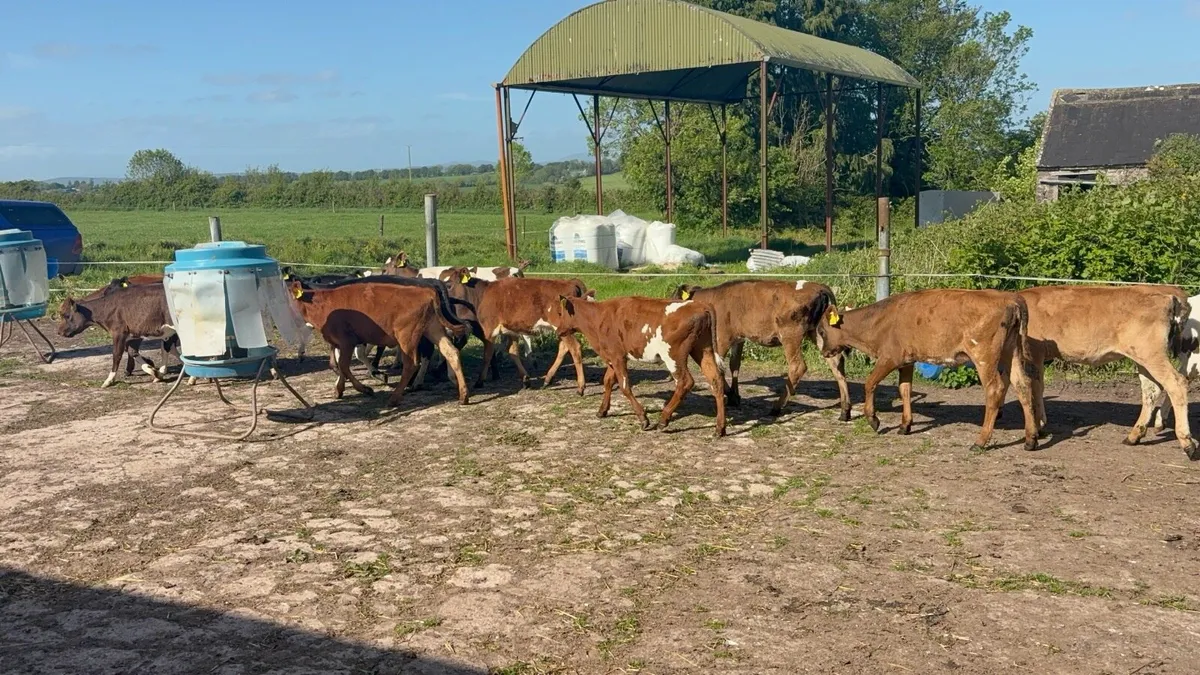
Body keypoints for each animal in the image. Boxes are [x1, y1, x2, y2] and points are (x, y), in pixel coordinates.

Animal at [288, 276, 471, 407]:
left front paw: (364, 388)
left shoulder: (347, 342)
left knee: (411, 364)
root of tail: (428, 290)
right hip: (433, 329)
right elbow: (339, 365)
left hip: (407, 336)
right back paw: (463, 395)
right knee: (451, 352)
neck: (322, 301)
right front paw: (340, 388)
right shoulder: (338, 343)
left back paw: (395, 397)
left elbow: (344, 366)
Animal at [548, 294, 727, 436]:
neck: (598, 317)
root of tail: (700, 305)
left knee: (685, 382)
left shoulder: (617, 357)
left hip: (674, 356)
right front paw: (602, 410)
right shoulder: (613, 357)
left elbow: (624, 386)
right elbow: (607, 381)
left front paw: (643, 418)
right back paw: (720, 428)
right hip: (703, 350)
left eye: (560, 313)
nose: (558, 332)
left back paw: (663, 419)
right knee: (716, 380)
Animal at [671, 279, 849, 418]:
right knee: (836, 363)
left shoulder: (721, 338)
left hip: (790, 335)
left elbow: (719, 368)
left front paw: (729, 395)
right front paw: (734, 396)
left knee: (797, 366)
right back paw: (845, 410)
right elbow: (734, 365)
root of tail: (819, 287)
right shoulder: (738, 338)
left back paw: (776, 407)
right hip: (818, 333)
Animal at [815, 288, 1037, 451]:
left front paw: (873, 419)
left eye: (821, 331)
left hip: (984, 355)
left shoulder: (890, 357)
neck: (878, 320)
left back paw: (980, 441)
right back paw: (1031, 439)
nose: (824, 352)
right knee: (1023, 385)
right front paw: (905, 425)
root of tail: (1011, 298)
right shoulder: (907, 360)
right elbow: (904, 389)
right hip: (1012, 350)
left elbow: (870, 383)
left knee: (994, 389)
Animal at [1010, 284, 1196, 458]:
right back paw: (1134, 436)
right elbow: (1039, 387)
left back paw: (1188, 444)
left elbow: (1035, 388)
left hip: (1151, 353)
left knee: (1176, 383)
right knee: (1151, 390)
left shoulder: (1033, 352)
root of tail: (1168, 292)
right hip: (1143, 357)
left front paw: (1037, 427)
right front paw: (1041, 425)